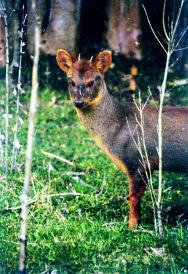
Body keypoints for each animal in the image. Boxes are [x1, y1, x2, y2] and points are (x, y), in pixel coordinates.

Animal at [55, 49, 188, 229]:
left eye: (92, 81)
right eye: (71, 81)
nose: (79, 102)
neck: (119, 124)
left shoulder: (139, 160)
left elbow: (133, 198)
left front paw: (132, 227)